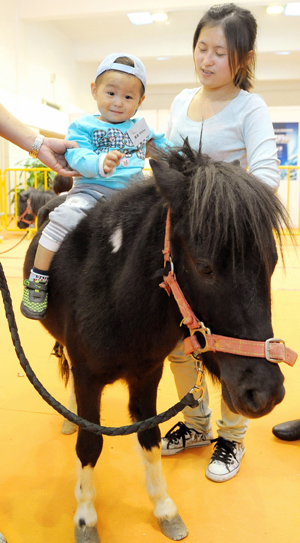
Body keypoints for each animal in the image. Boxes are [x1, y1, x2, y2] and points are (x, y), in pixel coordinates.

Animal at [24, 144, 292, 543]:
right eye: (205, 267)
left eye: (271, 262)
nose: (265, 393)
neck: (113, 295)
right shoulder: (88, 378)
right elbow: (89, 444)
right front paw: (85, 517)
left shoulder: (147, 374)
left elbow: (148, 436)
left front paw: (165, 509)